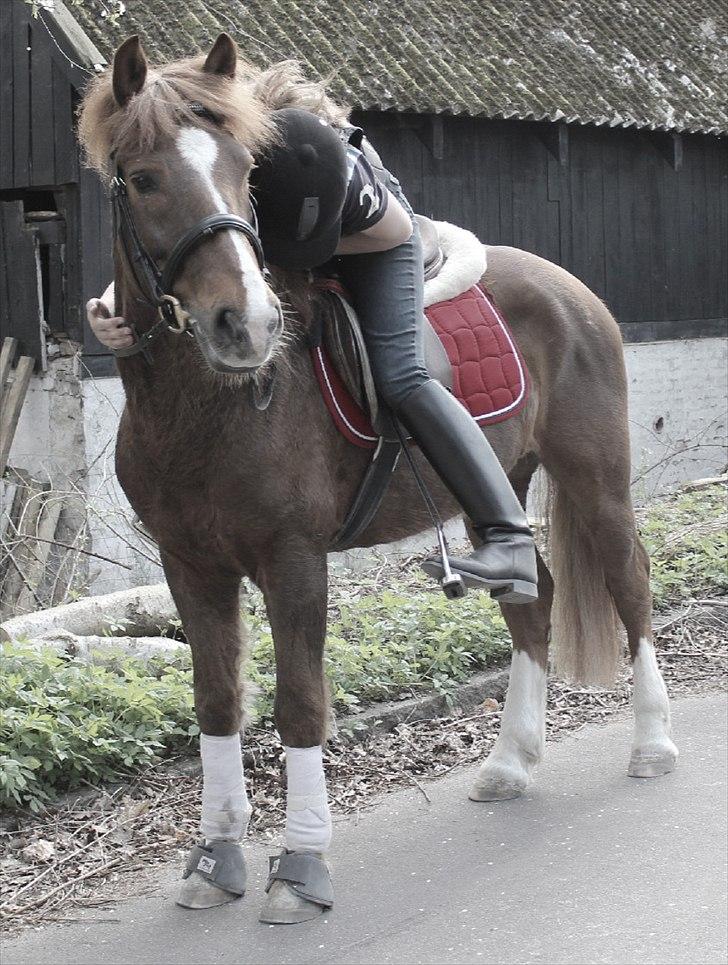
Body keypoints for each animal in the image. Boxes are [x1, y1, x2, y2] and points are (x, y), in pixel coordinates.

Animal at [77, 33, 678, 923]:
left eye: (245, 172)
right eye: (145, 178)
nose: (246, 325)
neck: (207, 408)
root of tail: (569, 287)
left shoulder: (293, 560)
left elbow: (300, 705)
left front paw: (300, 867)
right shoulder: (190, 564)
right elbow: (216, 700)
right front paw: (216, 857)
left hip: (597, 481)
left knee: (630, 586)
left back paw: (653, 741)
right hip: (499, 487)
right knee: (530, 596)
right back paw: (511, 761)